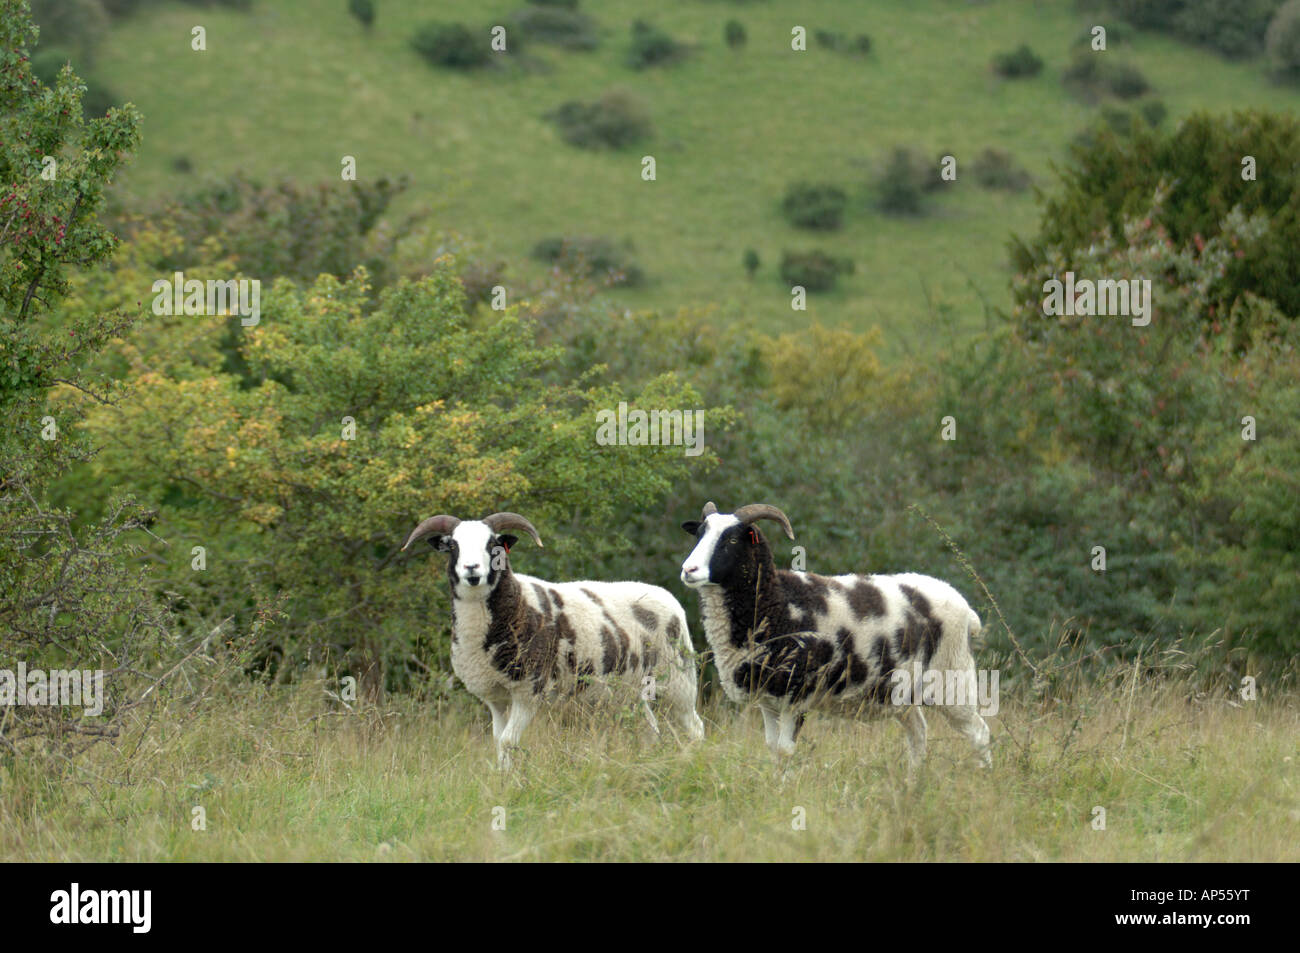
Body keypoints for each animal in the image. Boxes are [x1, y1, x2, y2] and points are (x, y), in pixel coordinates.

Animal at [403, 512, 702, 764]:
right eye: (453, 546)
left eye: (492, 544)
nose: (472, 569)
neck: (517, 605)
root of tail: (666, 596)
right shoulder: (495, 697)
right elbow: (498, 741)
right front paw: (501, 777)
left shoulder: (529, 690)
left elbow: (509, 741)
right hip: (629, 690)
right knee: (651, 729)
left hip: (679, 678)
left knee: (694, 726)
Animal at [676, 501, 987, 769]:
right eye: (700, 534)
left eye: (730, 540)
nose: (688, 570)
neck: (778, 602)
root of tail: (964, 607)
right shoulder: (768, 699)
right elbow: (772, 748)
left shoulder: (797, 694)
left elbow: (785, 751)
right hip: (903, 694)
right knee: (919, 735)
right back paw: (913, 783)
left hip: (952, 680)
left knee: (979, 733)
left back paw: (983, 774)